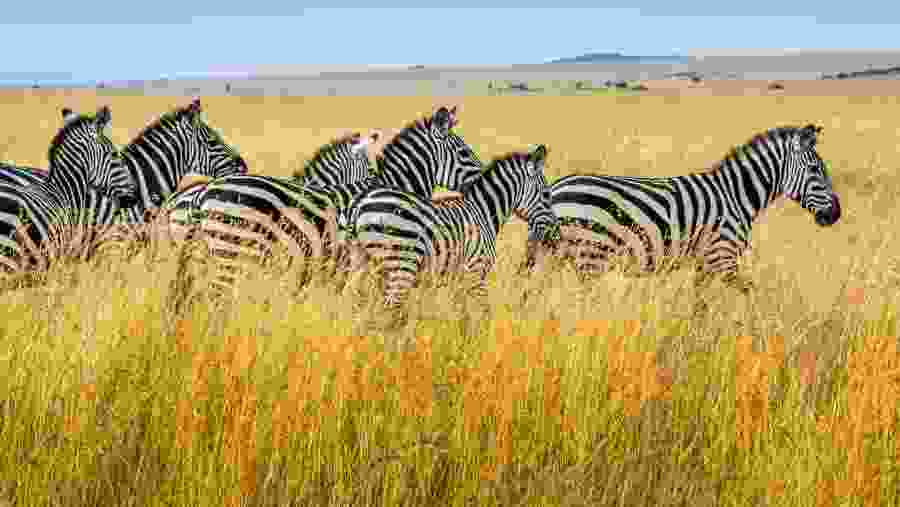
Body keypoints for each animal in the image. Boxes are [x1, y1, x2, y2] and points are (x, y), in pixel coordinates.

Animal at [342, 144, 555, 310]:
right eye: (546, 194)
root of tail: (361, 201)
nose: (555, 228)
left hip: (360, 262)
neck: (484, 212)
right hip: (401, 265)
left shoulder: (460, 279)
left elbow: (462, 315)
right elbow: (482, 314)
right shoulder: (475, 272)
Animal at [543, 124, 841, 302]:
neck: (736, 195)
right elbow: (751, 294)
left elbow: (699, 306)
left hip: (560, 256)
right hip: (590, 256)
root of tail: (555, 188)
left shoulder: (705, 263)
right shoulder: (723, 258)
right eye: (815, 169)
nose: (836, 214)